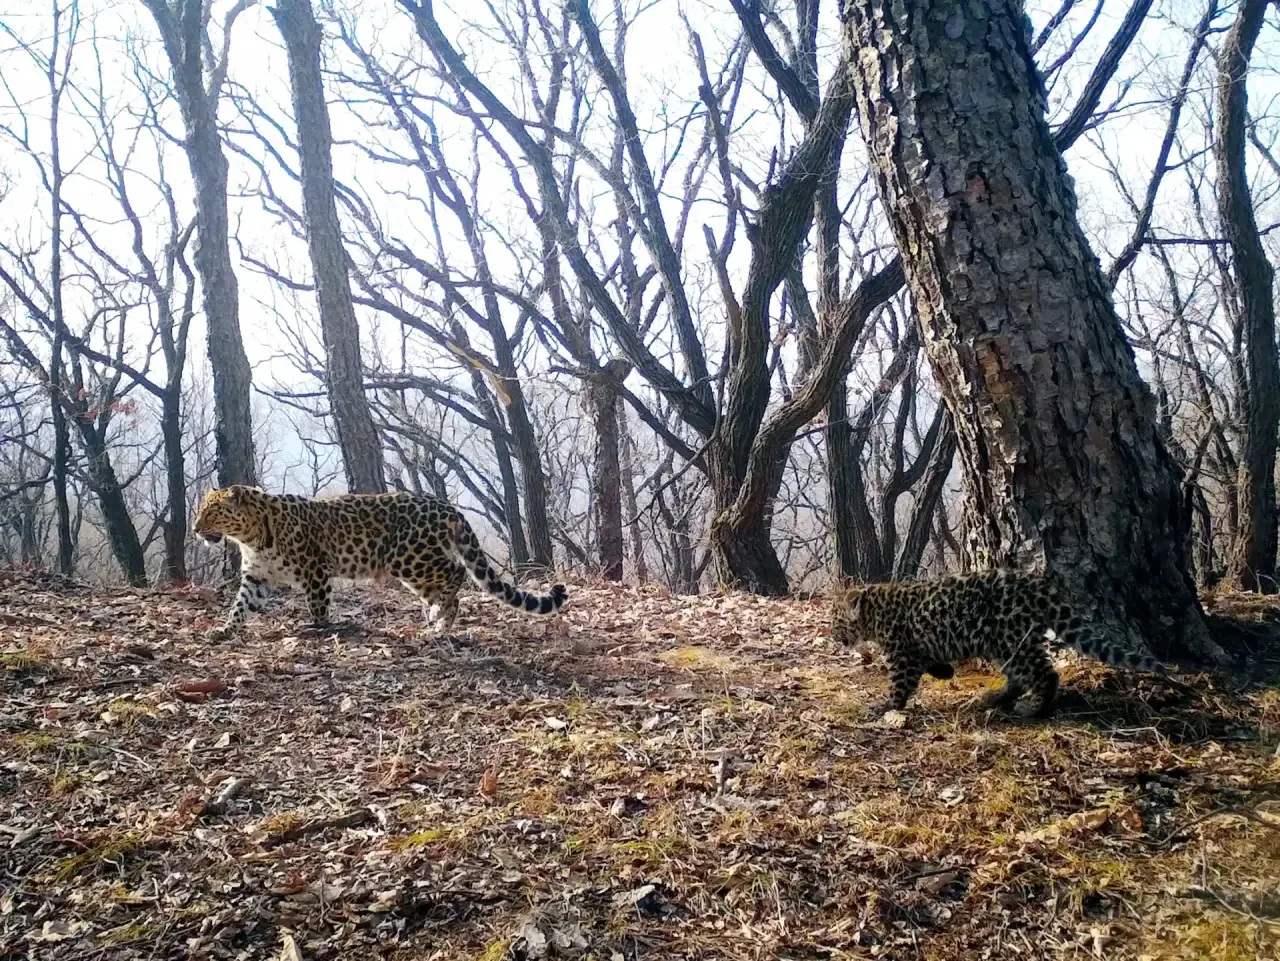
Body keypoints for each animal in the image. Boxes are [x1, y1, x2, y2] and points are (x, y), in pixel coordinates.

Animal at [193, 485, 567, 638]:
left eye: (211, 511)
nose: (196, 528)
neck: (253, 537)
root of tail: (447, 506)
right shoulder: (257, 577)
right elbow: (240, 606)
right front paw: (225, 630)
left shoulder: (315, 570)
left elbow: (317, 603)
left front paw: (319, 627)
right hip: (414, 564)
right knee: (443, 587)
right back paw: (437, 622)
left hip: (407, 557)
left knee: (457, 571)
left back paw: (440, 617)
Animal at [829, 569, 1163, 719]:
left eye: (835, 619)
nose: (832, 634)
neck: (874, 612)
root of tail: (1036, 585)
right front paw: (944, 672)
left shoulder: (902, 655)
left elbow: (899, 685)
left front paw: (885, 706)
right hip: (1002, 644)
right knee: (1019, 675)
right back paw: (995, 697)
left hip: (1009, 637)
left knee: (1045, 673)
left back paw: (1031, 708)